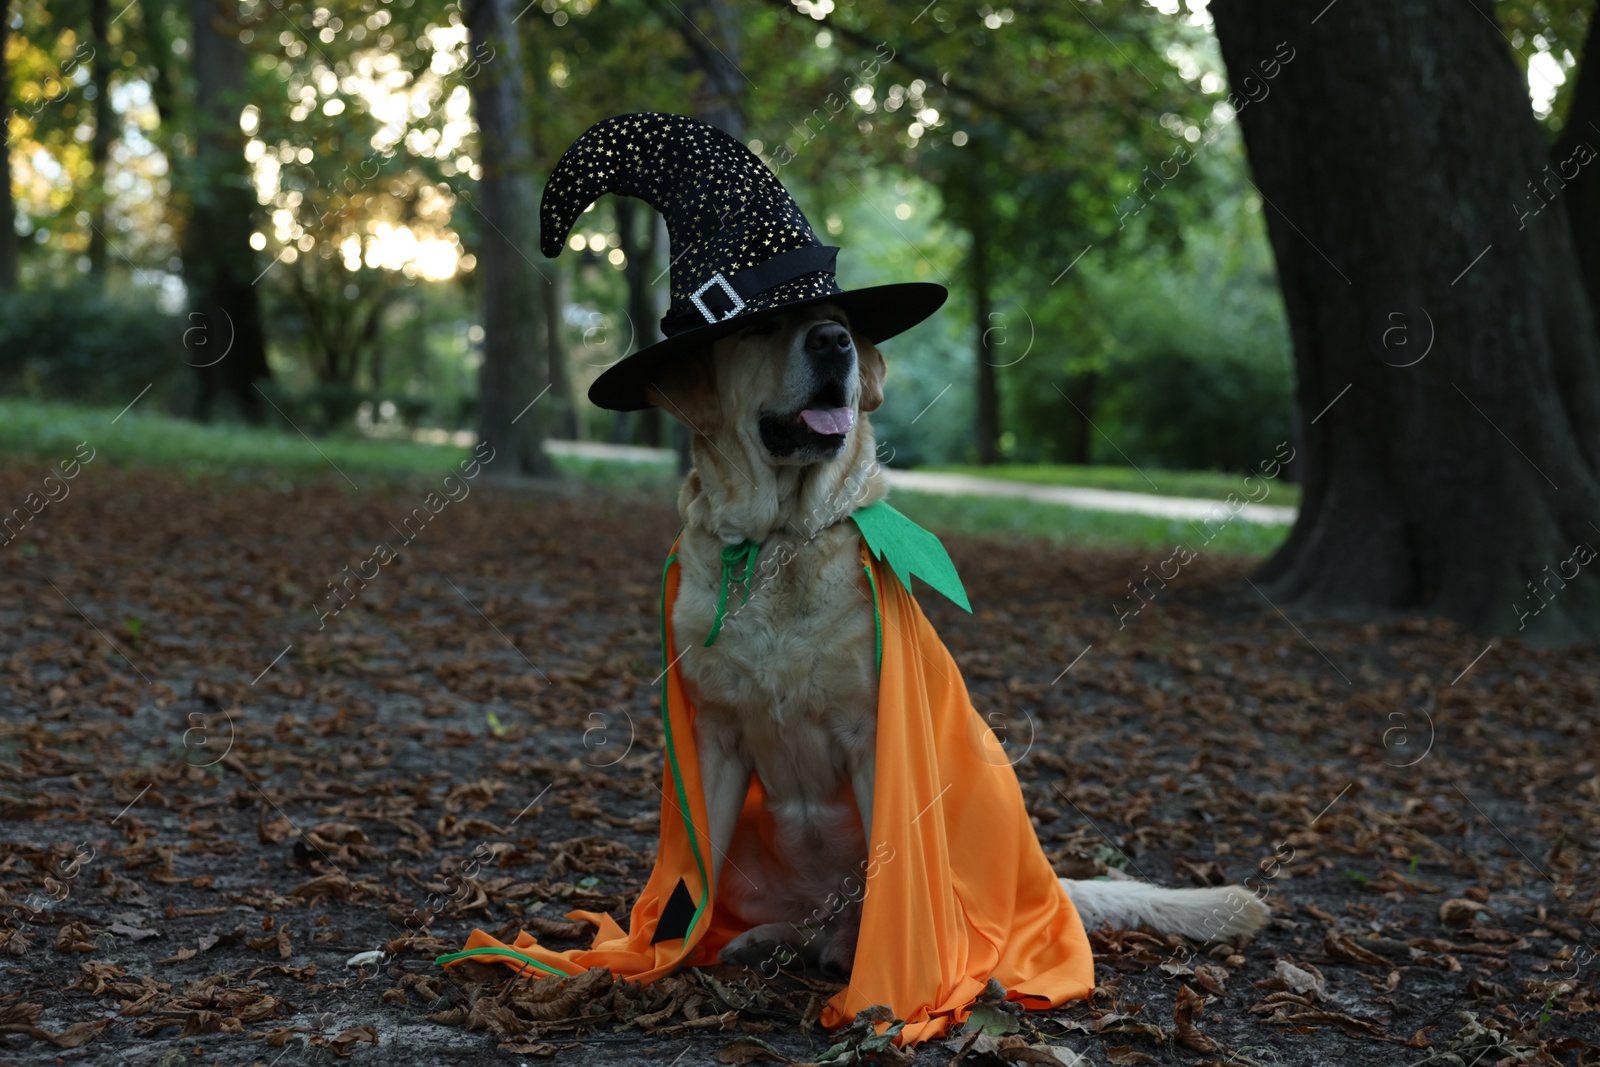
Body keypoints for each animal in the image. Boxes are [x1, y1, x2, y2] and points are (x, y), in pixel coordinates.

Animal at [643, 303, 1267, 979]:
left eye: (838, 322)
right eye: (757, 330)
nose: (834, 342)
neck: (781, 540)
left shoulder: (873, 738)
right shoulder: (716, 736)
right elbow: (696, 874)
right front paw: (668, 957)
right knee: (812, 921)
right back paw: (777, 941)